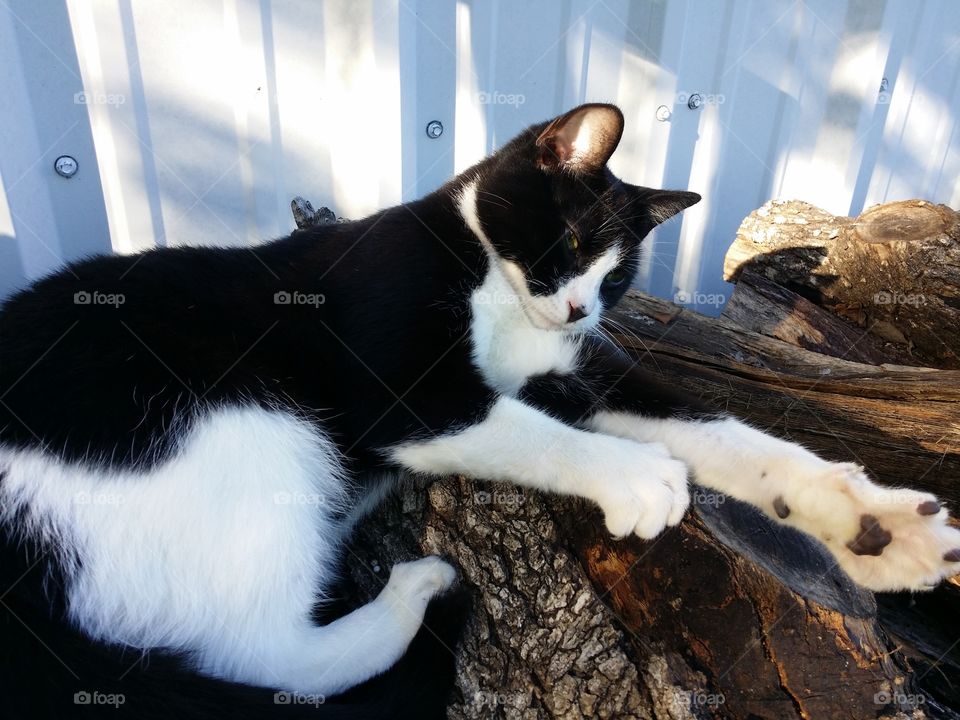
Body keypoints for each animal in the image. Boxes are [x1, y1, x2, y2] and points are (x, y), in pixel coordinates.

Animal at [1, 104, 960, 716]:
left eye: (617, 279)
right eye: (571, 242)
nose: (580, 308)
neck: (489, 277)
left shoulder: (574, 375)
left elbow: (728, 433)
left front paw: (876, 526)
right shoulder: (408, 389)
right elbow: (529, 435)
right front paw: (641, 477)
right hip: (250, 429)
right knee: (261, 654)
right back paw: (416, 593)